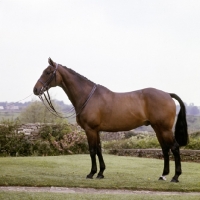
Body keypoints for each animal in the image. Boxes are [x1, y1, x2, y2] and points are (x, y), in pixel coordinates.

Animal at [32, 57, 188, 183]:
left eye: (47, 72)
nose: (36, 89)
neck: (88, 96)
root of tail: (167, 94)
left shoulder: (90, 129)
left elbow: (92, 150)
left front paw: (91, 173)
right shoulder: (97, 130)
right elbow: (99, 149)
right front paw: (100, 173)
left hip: (164, 129)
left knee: (174, 147)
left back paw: (175, 177)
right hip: (157, 128)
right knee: (165, 149)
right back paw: (163, 175)